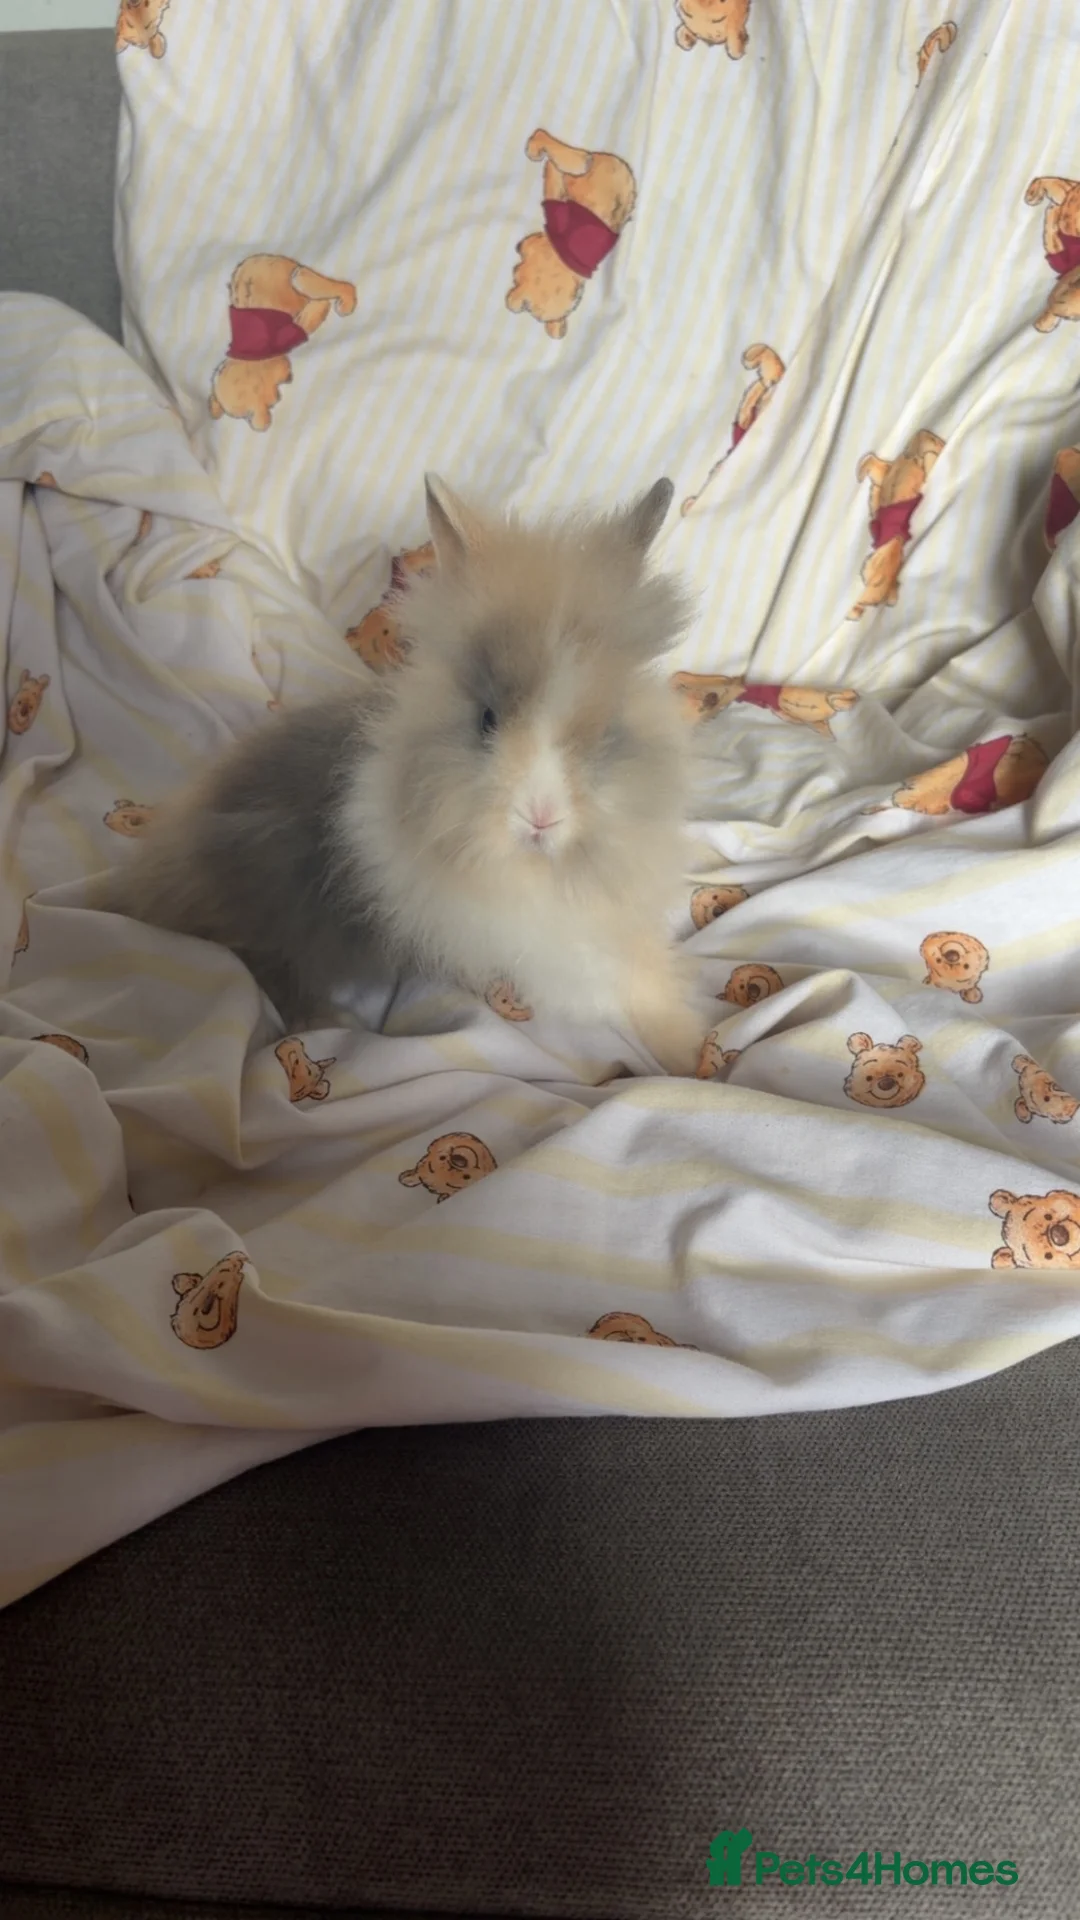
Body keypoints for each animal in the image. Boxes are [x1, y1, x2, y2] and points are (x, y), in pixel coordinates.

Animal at [209, 254, 356, 431]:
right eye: (273, 402)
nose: (289, 378)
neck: (247, 358)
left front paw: (320, 306)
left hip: (288, 277)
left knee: (312, 281)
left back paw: (344, 300)